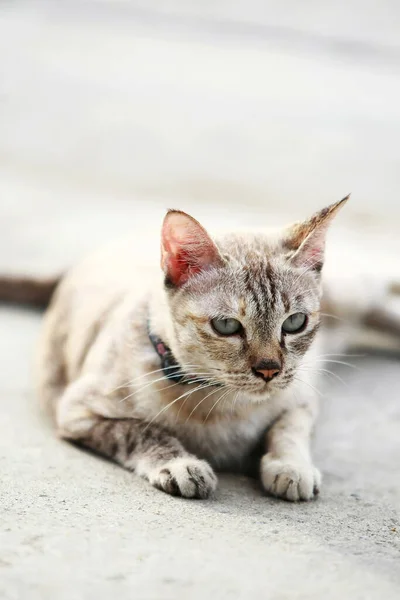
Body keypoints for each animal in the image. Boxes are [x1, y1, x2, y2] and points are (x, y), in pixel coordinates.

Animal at [0, 198, 396, 502]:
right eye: (227, 327)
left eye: (294, 323)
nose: (269, 370)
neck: (224, 407)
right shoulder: (79, 412)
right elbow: (144, 432)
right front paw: (181, 465)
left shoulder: (303, 396)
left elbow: (287, 431)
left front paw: (290, 467)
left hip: (354, 301)